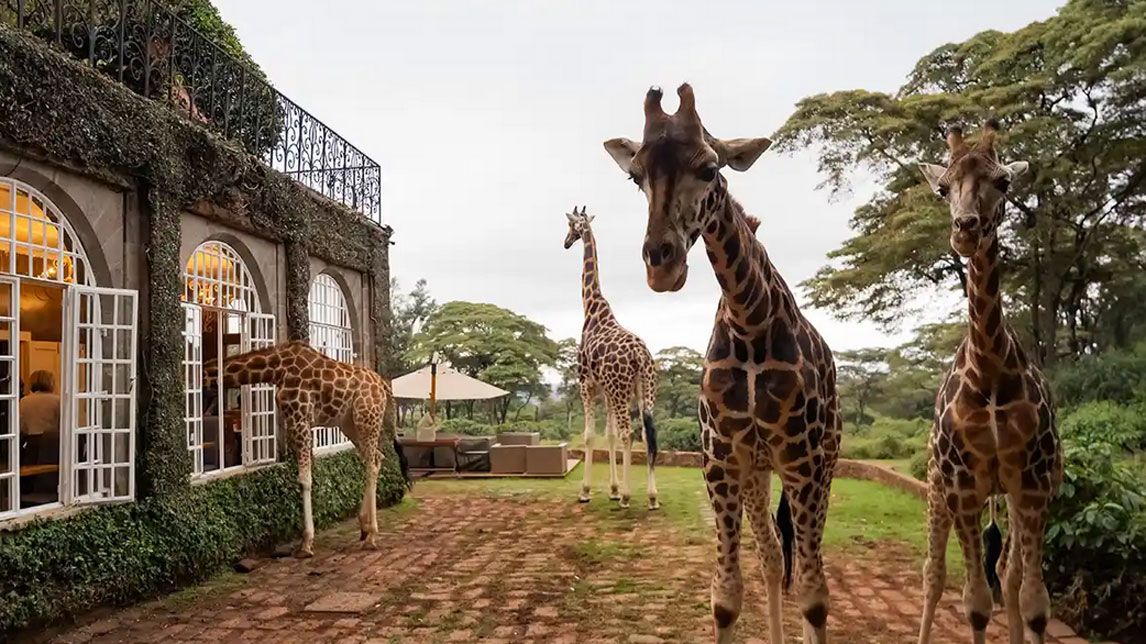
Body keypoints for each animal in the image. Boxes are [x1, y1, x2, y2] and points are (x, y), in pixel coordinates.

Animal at [203, 341, 410, 558]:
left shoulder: (300, 418)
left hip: (367, 419)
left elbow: (304, 479)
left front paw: (306, 543)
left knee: (371, 463)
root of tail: (384, 386)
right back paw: (363, 527)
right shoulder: (293, 421)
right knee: (378, 458)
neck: (277, 369)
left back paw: (371, 536)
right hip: (350, 424)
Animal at [563, 205, 660, 510]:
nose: (566, 242)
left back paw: (629, 496)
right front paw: (613, 489)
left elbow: (590, 436)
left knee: (630, 433)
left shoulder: (586, 383)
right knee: (646, 434)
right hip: (644, 390)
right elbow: (610, 435)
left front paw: (586, 491)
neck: (592, 308)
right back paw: (652, 496)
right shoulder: (606, 390)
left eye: (571, 226)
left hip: (621, 390)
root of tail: (640, 356)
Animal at [603, 84, 840, 644]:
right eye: (635, 175)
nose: (662, 266)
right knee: (773, 554)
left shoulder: (802, 462)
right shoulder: (722, 461)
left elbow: (815, 598)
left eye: (711, 168)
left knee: (805, 568)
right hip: (758, 471)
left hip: (824, 462)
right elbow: (727, 598)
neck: (749, 320)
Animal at [915, 121, 1062, 644]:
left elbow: (1033, 601)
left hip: (1017, 492)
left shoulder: (1034, 485)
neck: (991, 369)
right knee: (934, 574)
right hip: (937, 486)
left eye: (1003, 182)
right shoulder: (961, 487)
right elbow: (976, 604)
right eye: (942, 188)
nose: (965, 229)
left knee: (1011, 574)